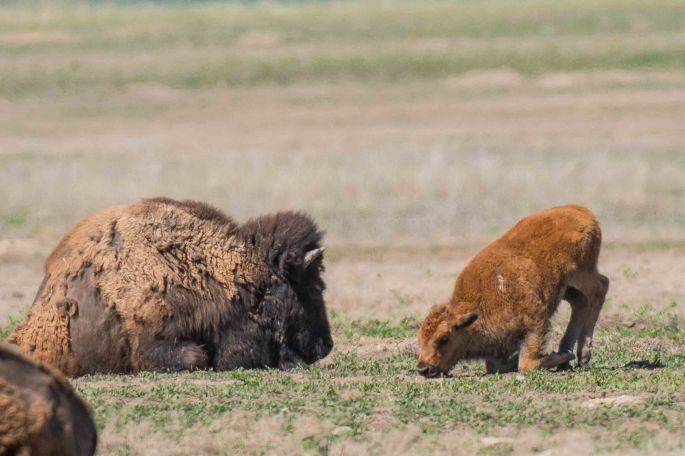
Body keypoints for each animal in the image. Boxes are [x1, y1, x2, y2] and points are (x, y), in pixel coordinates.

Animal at [417, 204, 609, 377]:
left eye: (444, 338)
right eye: (419, 339)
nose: (423, 369)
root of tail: (583, 212)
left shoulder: (536, 320)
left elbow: (527, 363)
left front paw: (560, 357)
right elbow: (493, 365)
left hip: (579, 273)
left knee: (601, 287)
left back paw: (581, 356)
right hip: (567, 287)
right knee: (580, 302)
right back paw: (569, 354)